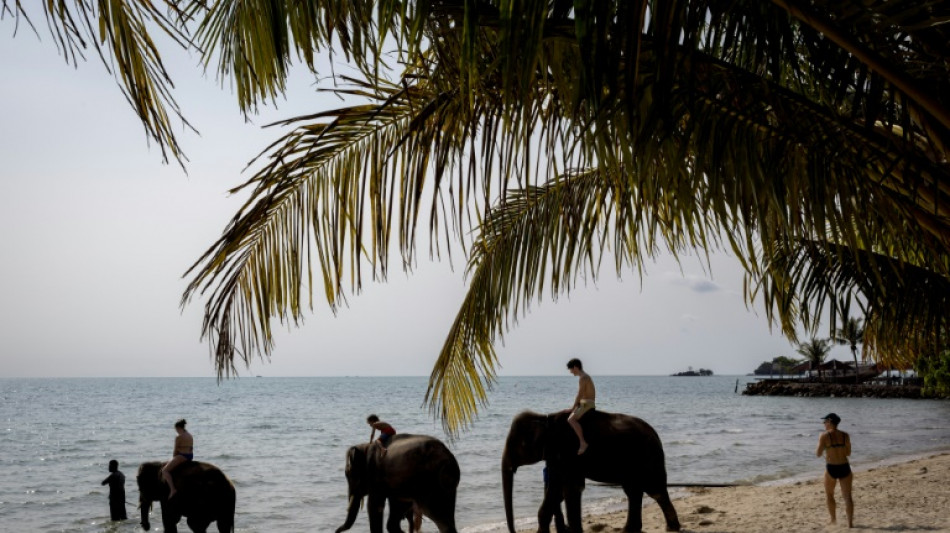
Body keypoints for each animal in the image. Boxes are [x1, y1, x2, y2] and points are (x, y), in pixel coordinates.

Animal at [502, 410, 680, 528]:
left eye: (515, 445)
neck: (545, 418)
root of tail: (656, 435)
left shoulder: (569, 452)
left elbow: (571, 488)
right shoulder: (557, 458)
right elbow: (557, 490)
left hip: (648, 459)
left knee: (655, 490)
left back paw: (672, 527)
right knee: (633, 491)